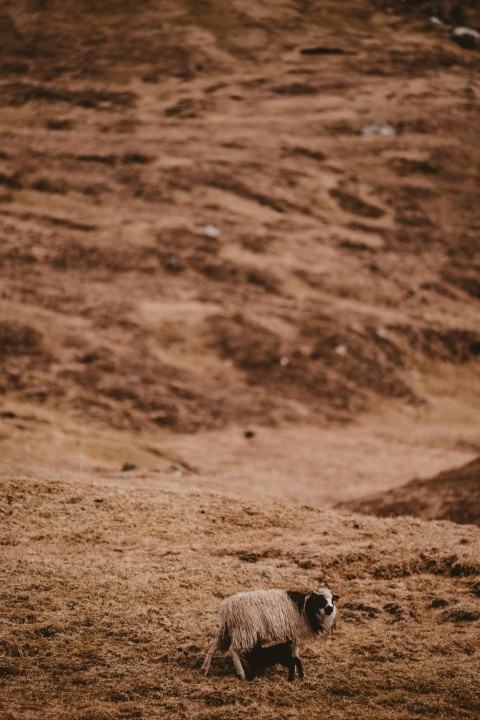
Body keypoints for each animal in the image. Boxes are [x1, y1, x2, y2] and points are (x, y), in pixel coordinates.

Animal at [202, 587, 338, 680]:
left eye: (332, 600)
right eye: (320, 600)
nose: (330, 609)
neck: (307, 608)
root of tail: (227, 607)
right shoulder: (295, 633)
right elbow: (295, 651)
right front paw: (296, 669)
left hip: (228, 630)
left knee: (213, 645)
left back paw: (205, 669)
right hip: (245, 630)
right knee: (233, 649)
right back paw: (241, 674)